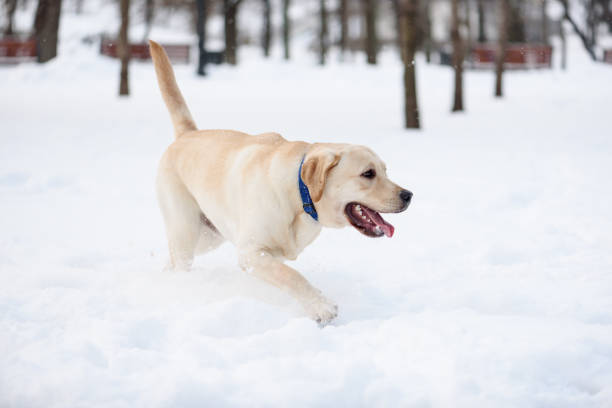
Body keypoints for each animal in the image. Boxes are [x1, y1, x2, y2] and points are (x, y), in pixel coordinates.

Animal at [151, 39, 414, 324]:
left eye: (385, 171)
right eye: (368, 173)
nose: (408, 195)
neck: (300, 196)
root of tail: (187, 134)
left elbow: (285, 275)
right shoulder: (251, 252)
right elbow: (291, 276)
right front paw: (321, 306)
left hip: (208, 236)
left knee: (171, 260)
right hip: (185, 230)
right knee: (180, 259)